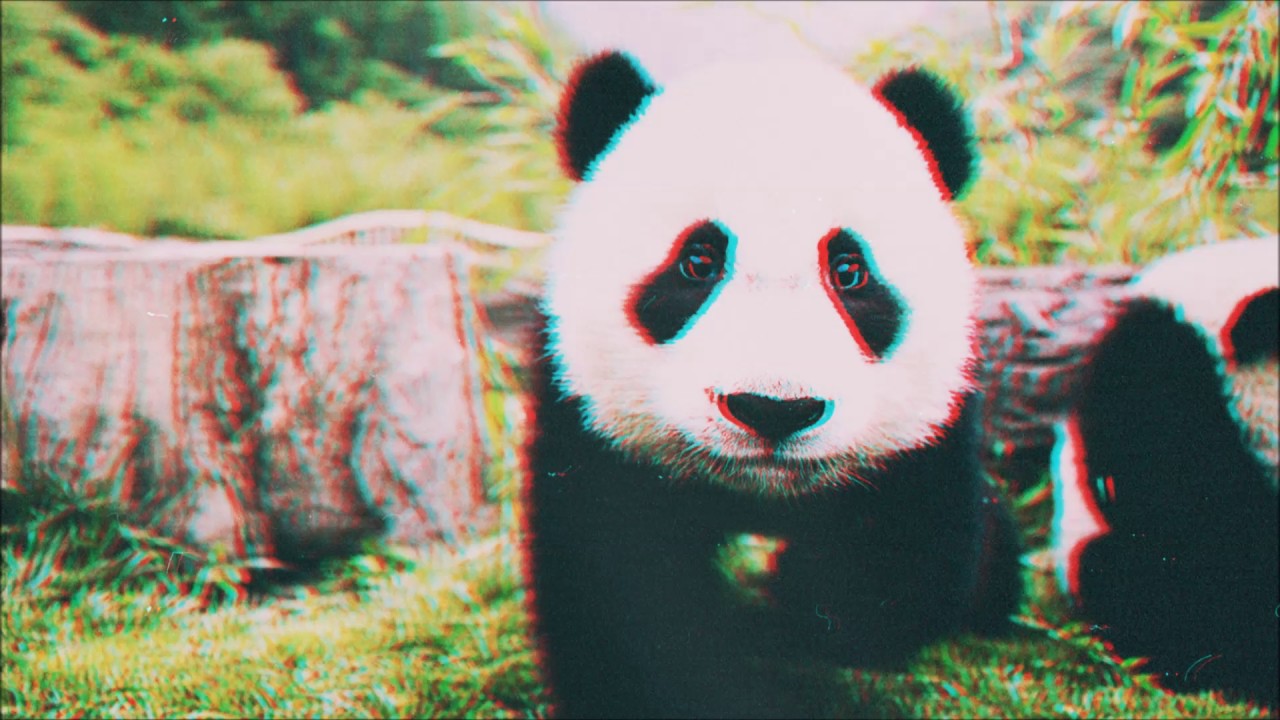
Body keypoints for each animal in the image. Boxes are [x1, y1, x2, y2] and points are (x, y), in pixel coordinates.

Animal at [524, 50, 1024, 719]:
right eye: (698, 261)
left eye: (849, 270)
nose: (773, 410)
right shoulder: (590, 423)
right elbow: (622, 600)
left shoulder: (928, 434)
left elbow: (895, 577)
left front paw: (786, 608)